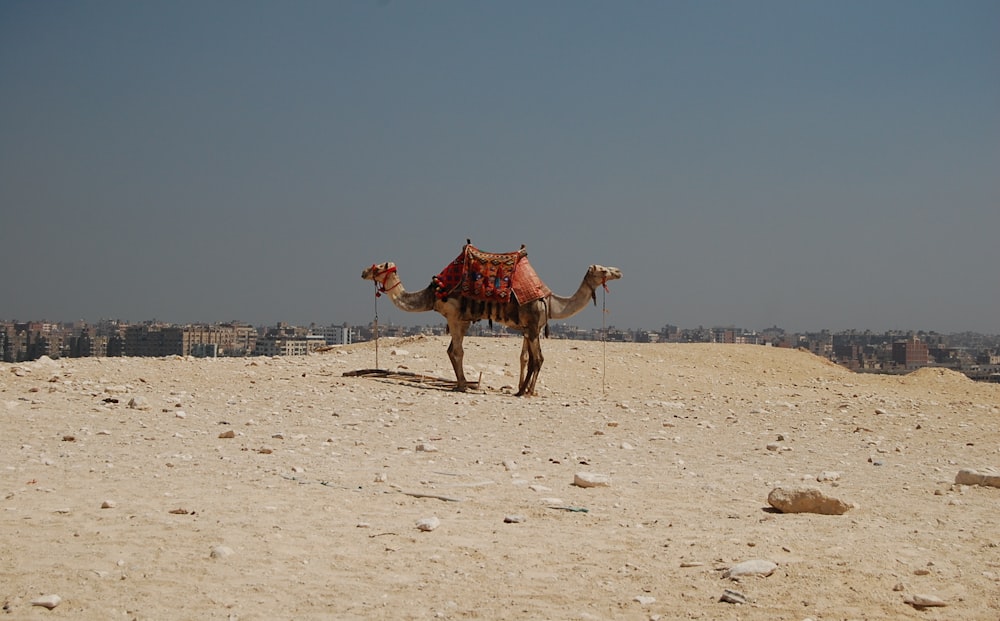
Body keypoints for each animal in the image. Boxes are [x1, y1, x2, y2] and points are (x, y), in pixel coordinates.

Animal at [364, 246, 620, 394]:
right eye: (603, 270)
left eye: (378, 266)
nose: (618, 271)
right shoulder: (527, 326)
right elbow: (533, 358)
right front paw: (525, 391)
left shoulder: (528, 328)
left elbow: (526, 358)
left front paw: (522, 389)